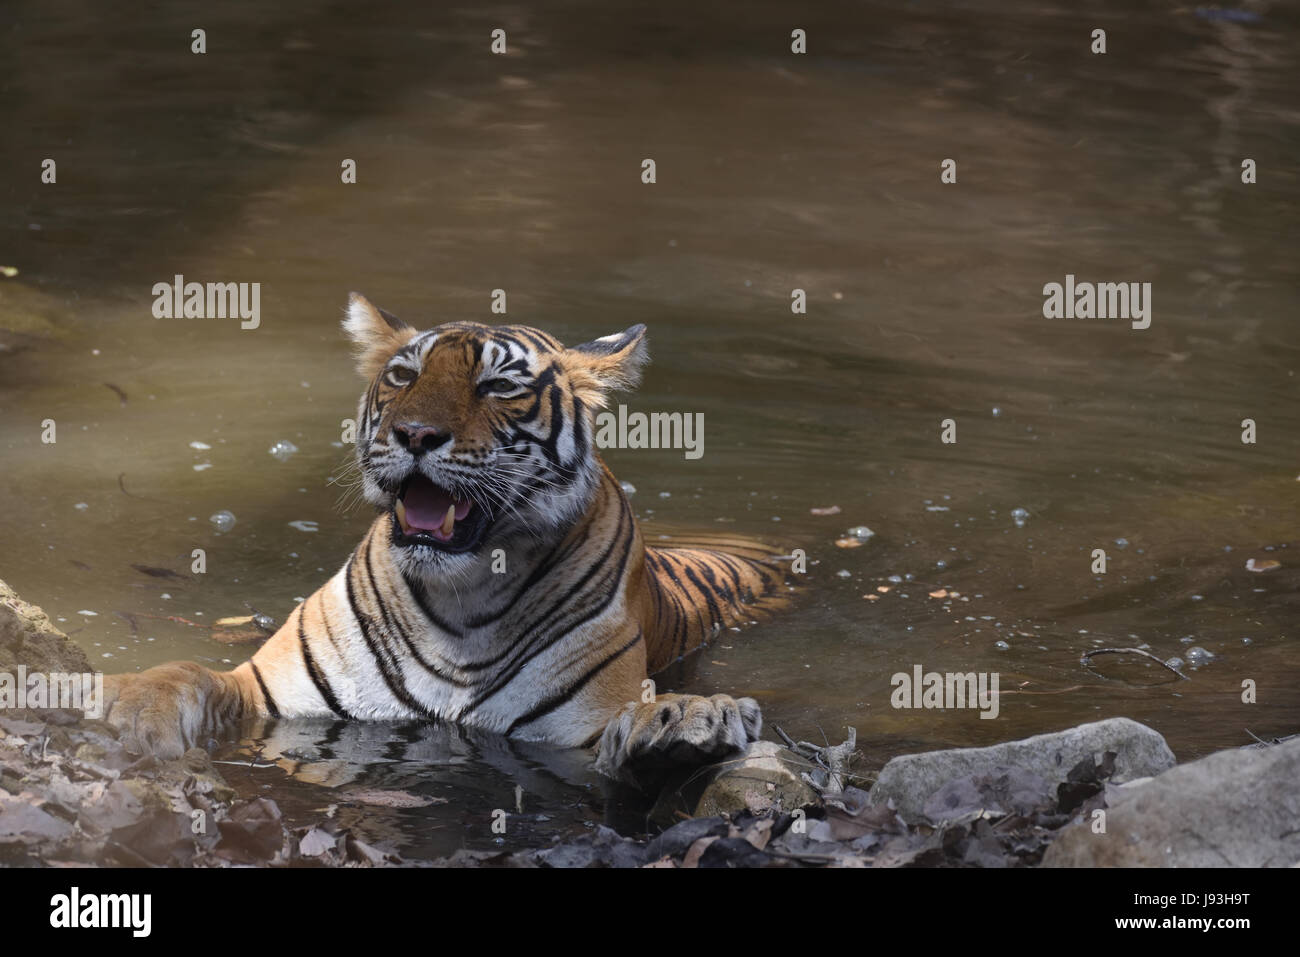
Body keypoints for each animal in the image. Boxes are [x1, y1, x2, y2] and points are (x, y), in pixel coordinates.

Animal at [104, 295, 790, 780]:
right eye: (403, 376)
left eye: (498, 386)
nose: (414, 434)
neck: (463, 594)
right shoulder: (268, 692)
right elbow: (183, 670)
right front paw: (131, 707)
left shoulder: (575, 734)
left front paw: (687, 719)